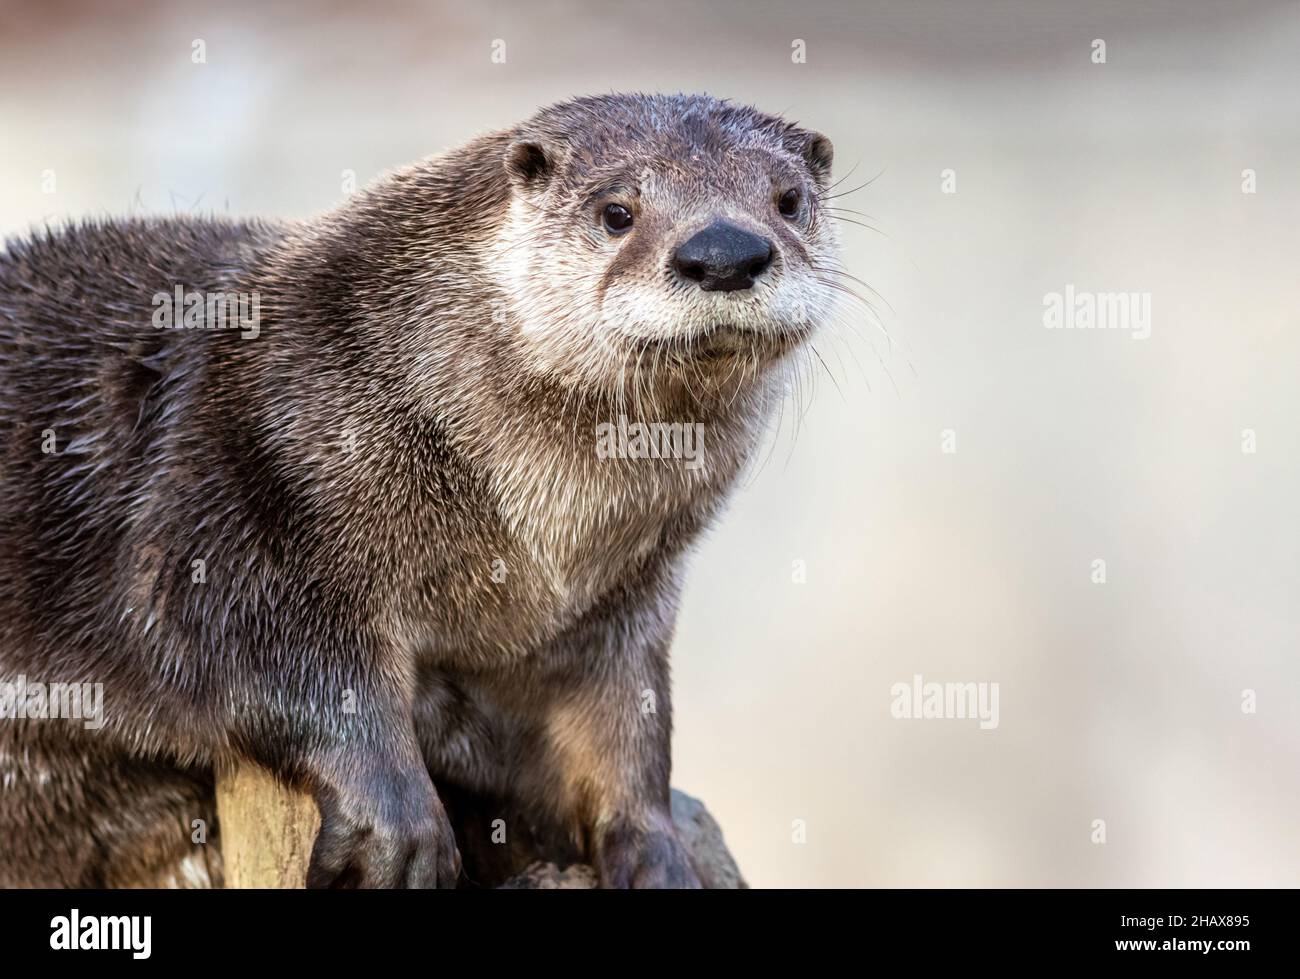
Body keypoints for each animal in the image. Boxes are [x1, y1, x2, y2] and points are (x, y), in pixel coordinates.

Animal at [0, 91, 842, 884]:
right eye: (617, 212)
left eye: (787, 200)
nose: (726, 251)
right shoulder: (225, 498)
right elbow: (247, 648)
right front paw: (397, 820)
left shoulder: (621, 601)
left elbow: (625, 723)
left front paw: (658, 848)